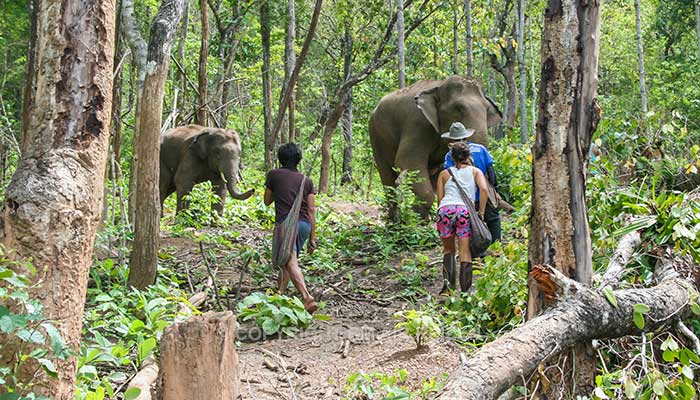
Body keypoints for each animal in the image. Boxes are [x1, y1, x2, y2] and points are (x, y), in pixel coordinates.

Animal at [370, 75, 500, 219]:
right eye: (458, 108)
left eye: (487, 110)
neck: (438, 86)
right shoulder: (417, 123)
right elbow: (407, 161)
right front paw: (417, 219)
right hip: (375, 133)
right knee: (388, 177)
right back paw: (395, 219)